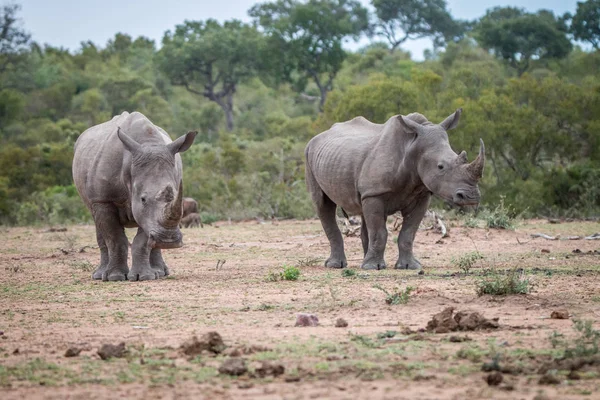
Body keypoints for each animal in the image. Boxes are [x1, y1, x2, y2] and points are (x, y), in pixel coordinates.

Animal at [72, 111, 196, 282]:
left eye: (175, 196)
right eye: (143, 199)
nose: (168, 240)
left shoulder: (146, 214)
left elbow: (143, 239)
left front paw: (143, 277)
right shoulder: (103, 200)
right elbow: (114, 238)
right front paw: (115, 277)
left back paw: (159, 272)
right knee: (97, 222)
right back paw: (99, 275)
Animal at [308, 109, 486, 270]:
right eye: (440, 167)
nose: (471, 197)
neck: (412, 148)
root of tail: (318, 136)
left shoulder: (421, 195)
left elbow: (409, 232)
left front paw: (409, 266)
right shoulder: (376, 193)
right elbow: (379, 232)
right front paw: (373, 267)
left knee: (363, 212)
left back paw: (363, 262)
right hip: (310, 153)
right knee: (323, 204)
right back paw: (337, 265)